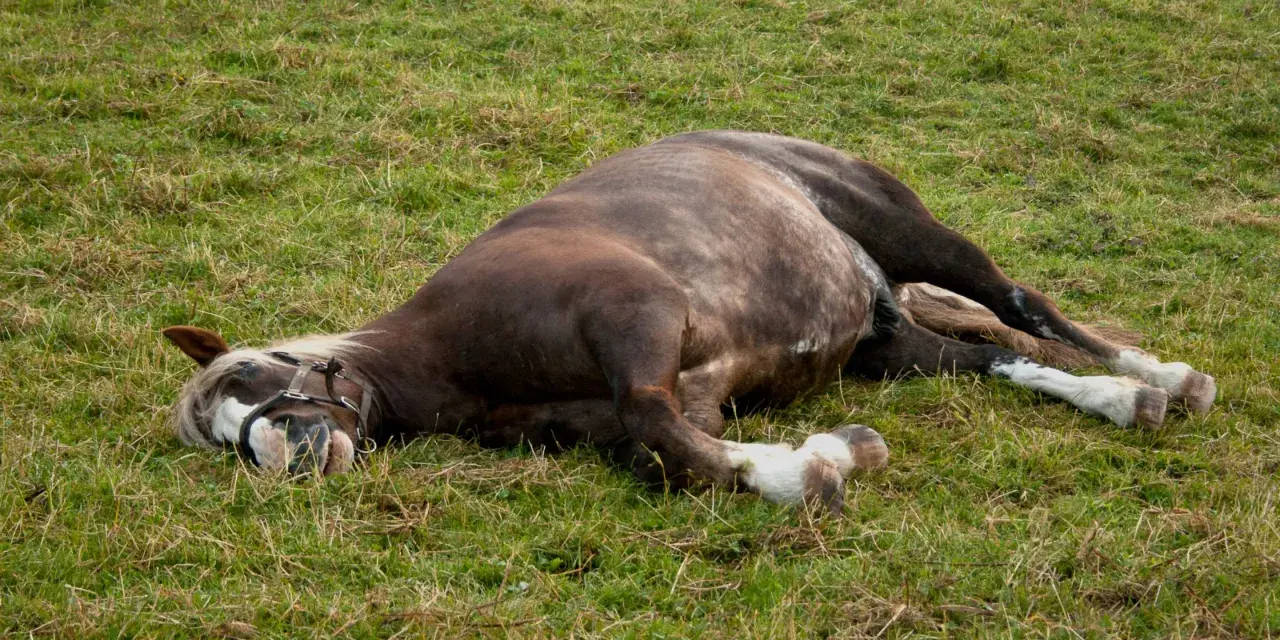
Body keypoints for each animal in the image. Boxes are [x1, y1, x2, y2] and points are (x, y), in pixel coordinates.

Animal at [163, 131, 1216, 514]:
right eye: (220, 438)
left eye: (254, 373)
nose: (283, 456)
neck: (454, 351)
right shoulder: (679, 399)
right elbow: (673, 452)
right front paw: (829, 454)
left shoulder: (640, 319)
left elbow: (656, 423)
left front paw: (813, 471)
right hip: (888, 342)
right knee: (993, 355)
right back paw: (1118, 398)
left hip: (916, 237)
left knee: (1022, 305)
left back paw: (1160, 376)